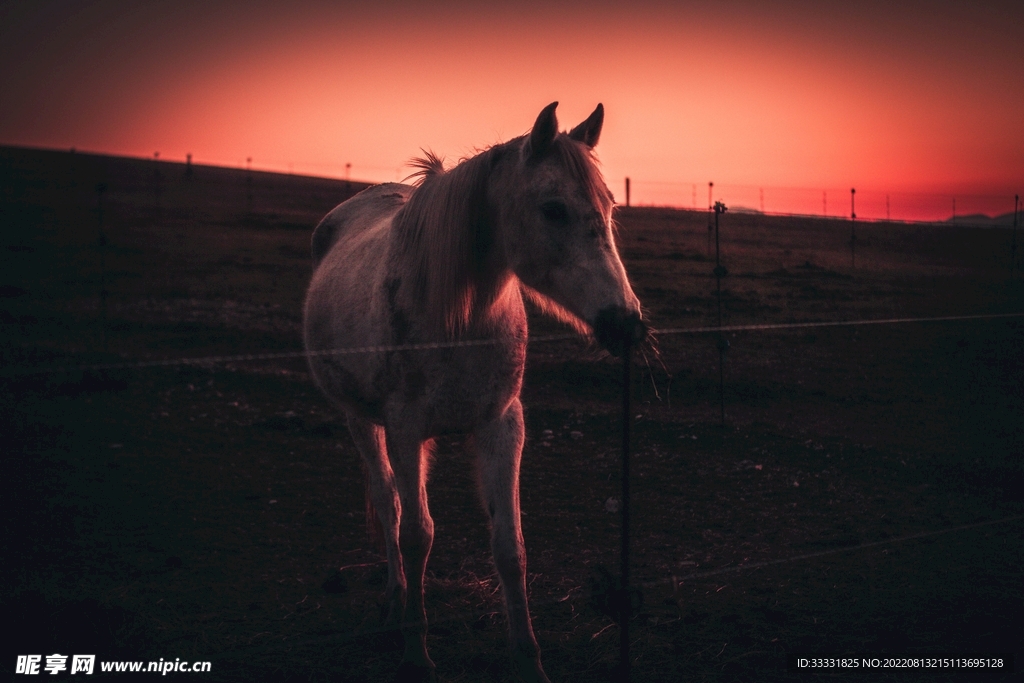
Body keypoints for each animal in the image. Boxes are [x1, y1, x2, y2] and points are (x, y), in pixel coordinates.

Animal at [303, 102, 645, 683]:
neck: (462, 319)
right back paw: (395, 600)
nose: (626, 324)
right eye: (554, 209)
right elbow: (417, 535)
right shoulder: (405, 429)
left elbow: (510, 547)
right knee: (388, 504)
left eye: (609, 206)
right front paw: (417, 657)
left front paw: (528, 659)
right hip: (360, 420)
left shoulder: (501, 425)